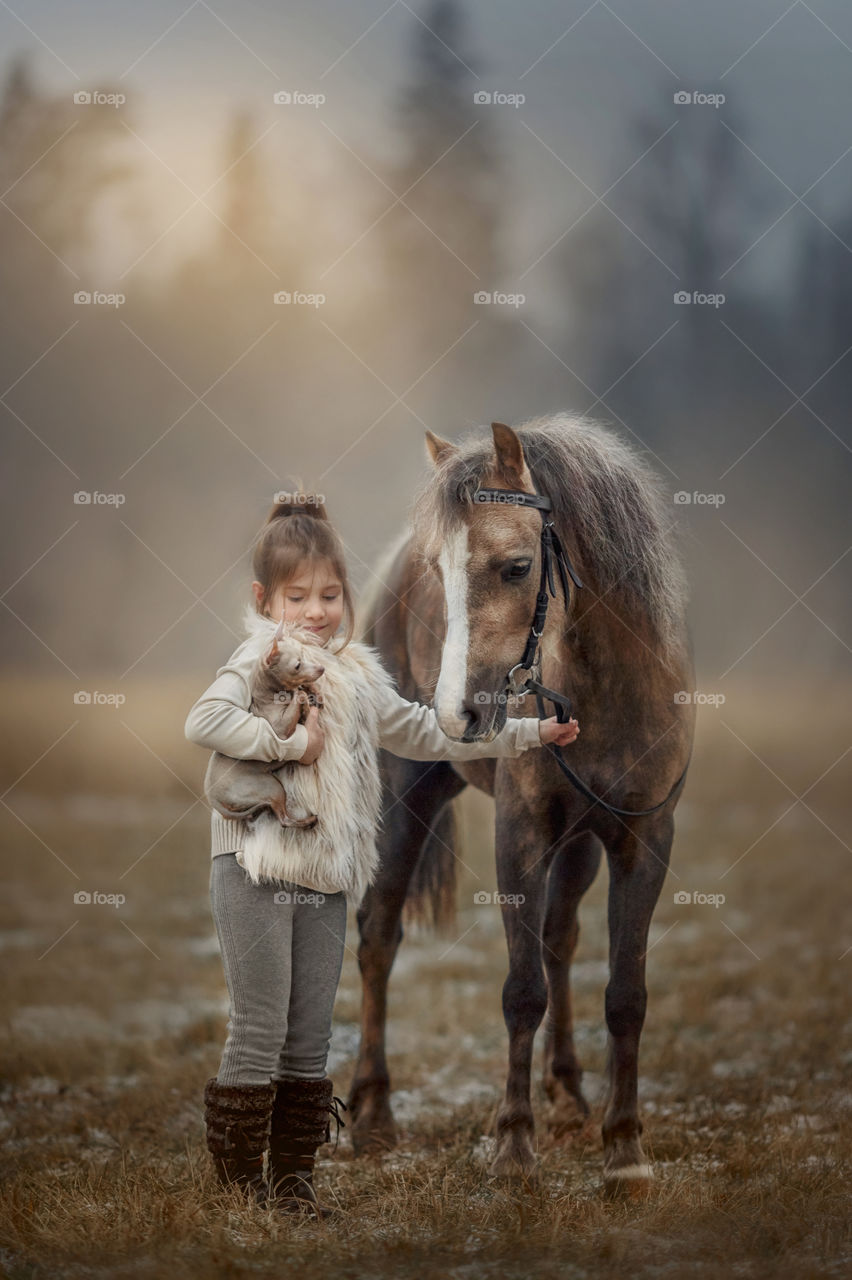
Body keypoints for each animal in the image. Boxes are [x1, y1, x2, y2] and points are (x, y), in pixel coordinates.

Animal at [202, 611, 324, 829]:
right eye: (297, 665)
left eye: (303, 655)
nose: (321, 669)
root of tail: (213, 798)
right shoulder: (281, 731)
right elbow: (298, 696)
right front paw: (304, 700)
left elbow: (302, 691)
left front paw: (313, 692)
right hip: (271, 786)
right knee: (284, 820)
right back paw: (308, 820)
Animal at [347, 414, 695, 1182]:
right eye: (440, 572)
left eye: (515, 566)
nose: (459, 715)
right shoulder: (521, 833)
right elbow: (521, 989)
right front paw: (512, 1143)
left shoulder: (644, 839)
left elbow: (624, 994)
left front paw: (624, 1150)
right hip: (406, 798)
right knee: (379, 935)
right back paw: (373, 1111)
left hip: (580, 843)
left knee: (561, 939)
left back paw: (567, 1095)